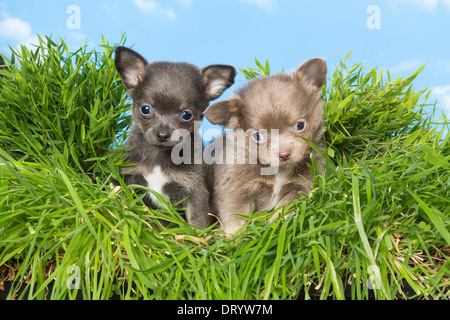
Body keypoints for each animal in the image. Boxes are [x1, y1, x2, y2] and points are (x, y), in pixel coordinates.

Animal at [114, 47, 236, 228]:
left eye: (186, 115)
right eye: (145, 109)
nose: (162, 135)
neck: (159, 157)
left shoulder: (194, 191)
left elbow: (197, 223)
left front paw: (196, 236)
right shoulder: (127, 178)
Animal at [204, 57, 326, 234]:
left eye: (300, 125)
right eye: (258, 136)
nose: (284, 154)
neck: (278, 171)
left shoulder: (301, 185)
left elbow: (286, 207)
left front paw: (275, 224)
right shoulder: (234, 190)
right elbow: (235, 215)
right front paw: (235, 235)